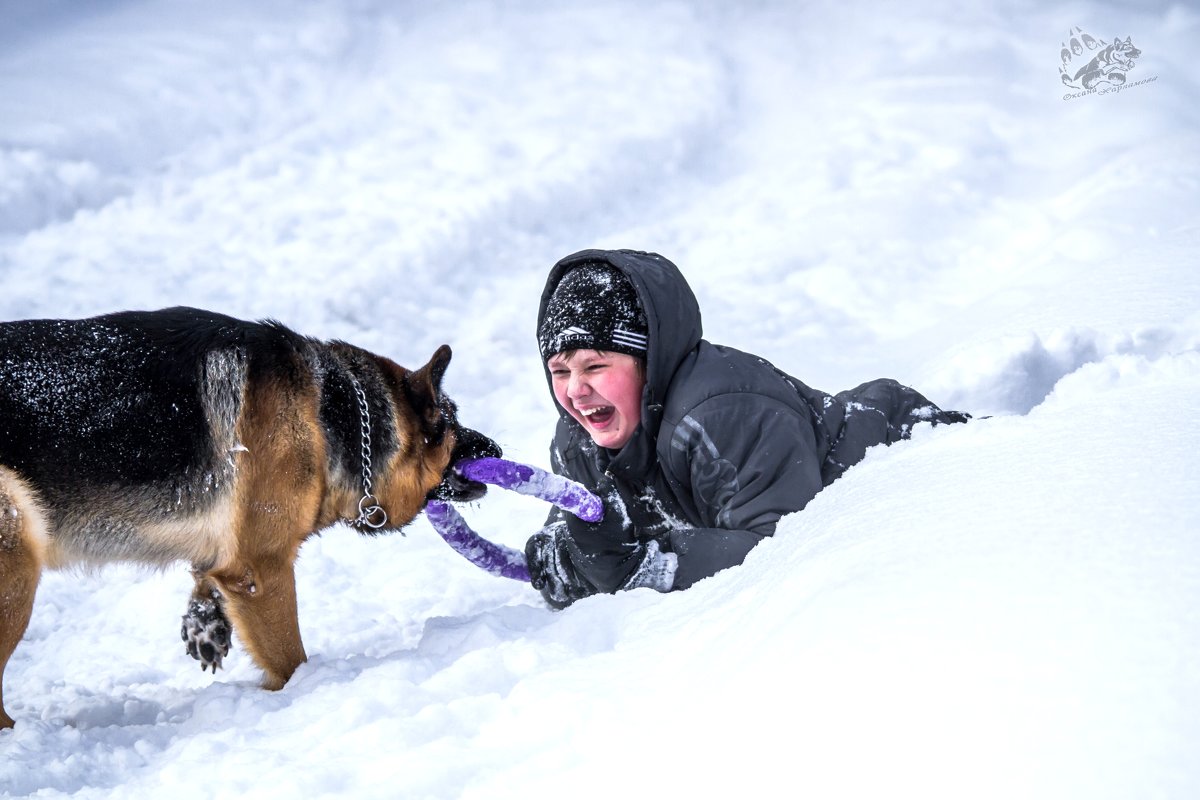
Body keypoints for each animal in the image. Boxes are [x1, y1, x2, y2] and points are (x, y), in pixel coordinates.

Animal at [0, 304, 496, 724]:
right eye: (449, 420)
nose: (497, 447)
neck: (332, 415)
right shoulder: (262, 570)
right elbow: (290, 657)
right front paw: (299, 694)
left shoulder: (230, 560)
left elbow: (209, 577)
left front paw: (205, 619)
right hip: (18, 556)